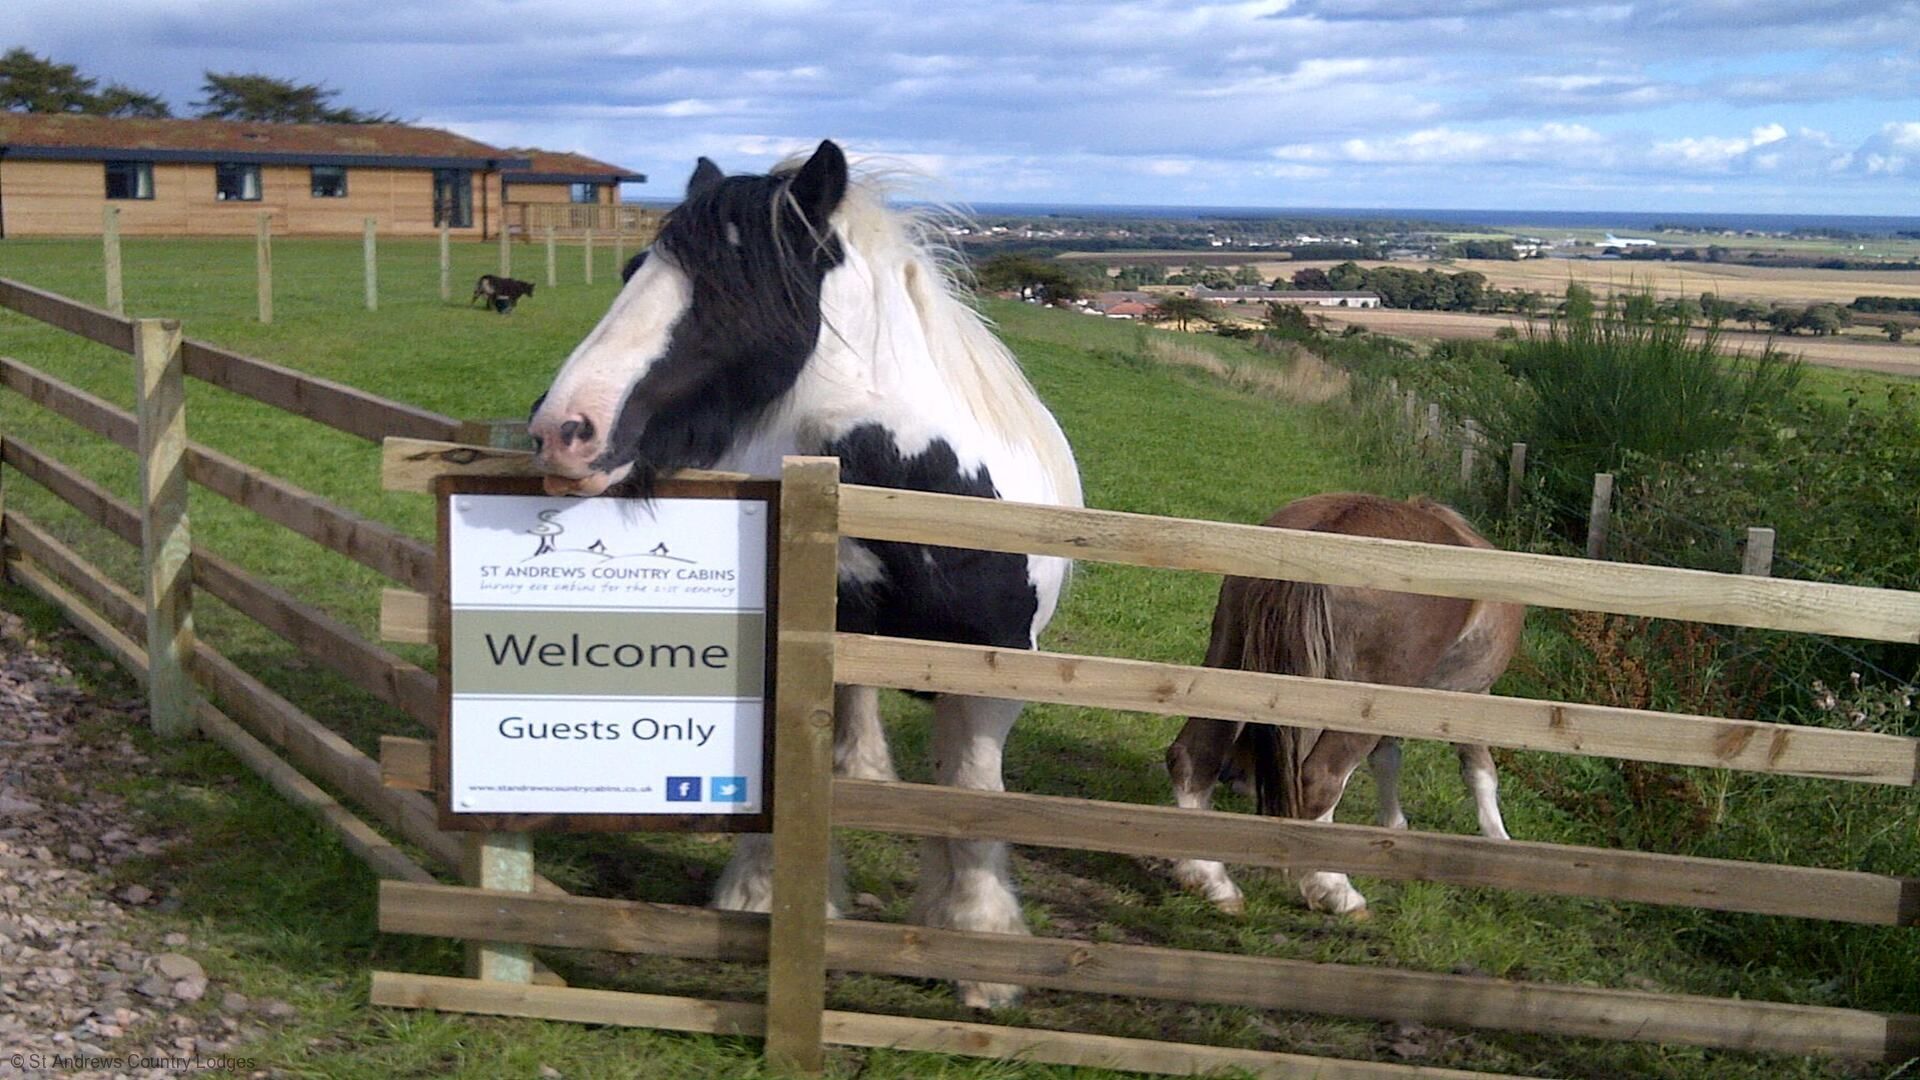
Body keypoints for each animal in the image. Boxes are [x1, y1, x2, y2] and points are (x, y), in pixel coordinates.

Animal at [526, 141, 1082, 1008]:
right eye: (631, 271)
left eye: (732, 285)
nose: (561, 430)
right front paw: (763, 900)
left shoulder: (989, 680)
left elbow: (967, 807)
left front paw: (981, 954)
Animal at [1164, 493, 1524, 917]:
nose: (1236, 779)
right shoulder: (1470, 697)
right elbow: (1479, 770)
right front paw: (1497, 840)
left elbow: (1387, 758)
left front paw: (1393, 826)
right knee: (1320, 779)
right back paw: (1335, 889)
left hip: (1230, 659)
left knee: (1195, 754)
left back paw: (1209, 879)